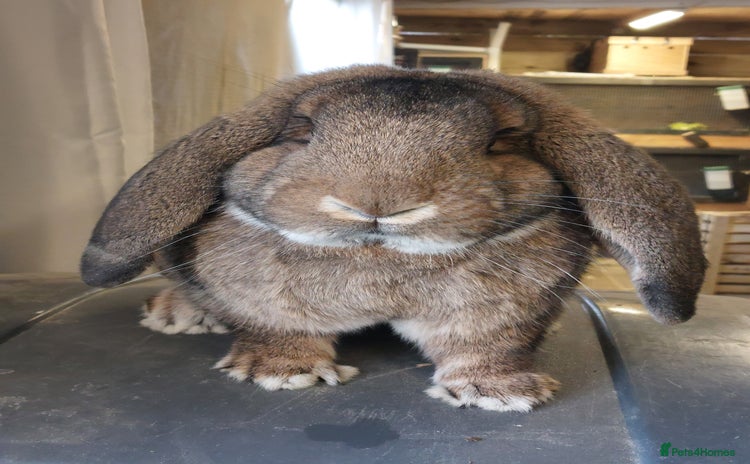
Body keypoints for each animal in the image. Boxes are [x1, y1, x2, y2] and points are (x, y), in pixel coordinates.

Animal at [81, 65, 706, 412]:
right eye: (302, 132)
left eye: (500, 143)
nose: (377, 203)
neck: (381, 261)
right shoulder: (260, 303)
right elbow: (275, 330)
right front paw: (282, 373)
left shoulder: (499, 318)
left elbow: (487, 349)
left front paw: (498, 393)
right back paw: (180, 314)